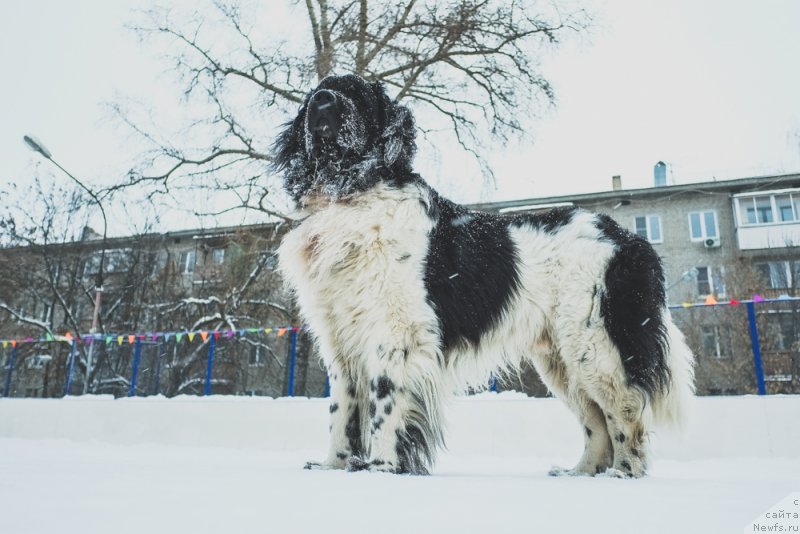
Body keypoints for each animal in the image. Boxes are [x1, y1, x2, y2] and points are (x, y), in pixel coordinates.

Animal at [276, 74, 692, 478]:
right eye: (318, 91)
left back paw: (623, 473)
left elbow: (383, 405)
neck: (351, 196)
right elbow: (342, 409)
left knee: (624, 410)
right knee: (595, 421)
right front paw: (334, 465)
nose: (323, 101)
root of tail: (630, 240)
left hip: (594, 346)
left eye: (358, 95)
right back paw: (581, 472)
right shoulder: (339, 338)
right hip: (561, 360)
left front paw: (380, 468)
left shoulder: (394, 334)